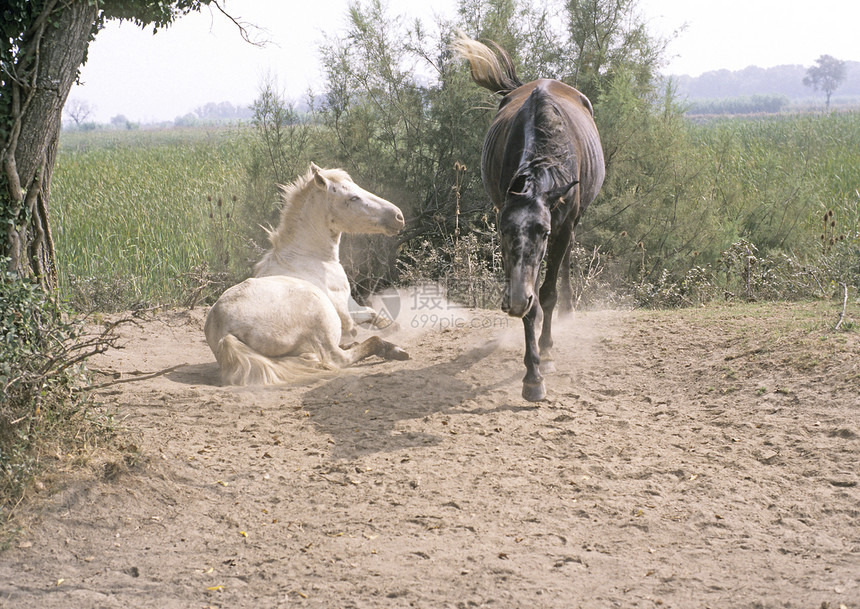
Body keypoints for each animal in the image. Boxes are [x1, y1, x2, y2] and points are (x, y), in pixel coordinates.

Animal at [207, 163, 410, 384]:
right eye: (353, 198)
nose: (398, 216)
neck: (310, 257)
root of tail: (223, 332)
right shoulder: (346, 314)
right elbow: (367, 317)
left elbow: (374, 313)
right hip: (319, 315)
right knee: (338, 357)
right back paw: (393, 350)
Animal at [450, 34, 604, 404]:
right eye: (503, 232)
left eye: (543, 232)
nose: (516, 299)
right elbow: (531, 306)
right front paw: (532, 375)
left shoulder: (561, 228)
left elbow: (546, 293)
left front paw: (545, 354)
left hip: (572, 225)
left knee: (564, 265)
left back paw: (566, 312)